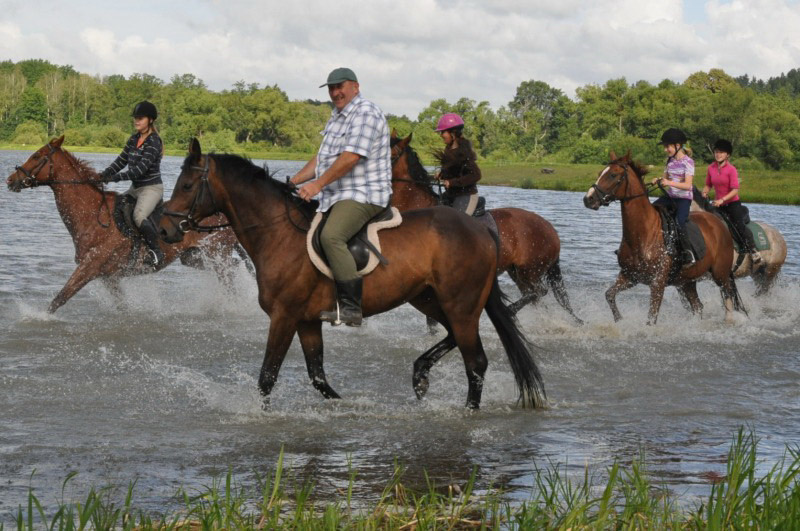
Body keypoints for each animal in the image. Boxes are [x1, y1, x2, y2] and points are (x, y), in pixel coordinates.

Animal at [5, 135, 247, 314]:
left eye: (36, 156)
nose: (10, 180)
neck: (92, 216)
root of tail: (224, 215)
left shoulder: (89, 267)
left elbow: (60, 298)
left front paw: (37, 319)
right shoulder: (108, 277)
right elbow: (123, 306)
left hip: (216, 253)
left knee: (229, 275)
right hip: (194, 257)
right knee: (232, 268)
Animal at [159, 139, 548, 410]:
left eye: (187, 186)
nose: (164, 230)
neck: (279, 233)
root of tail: (481, 231)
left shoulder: (284, 316)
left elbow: (268, 376)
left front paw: (260, 414)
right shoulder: (307, 320)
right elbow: (318, 376)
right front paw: (348, 406)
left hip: (461, 304)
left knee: (476, 361)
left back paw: (467, 410)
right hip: (428, 299)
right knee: (453, 338)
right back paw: (420, 375)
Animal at [390, 133, 580, 324]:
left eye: (391, 155)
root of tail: (551, 230)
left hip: (529, 270)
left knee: (538, 292)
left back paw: (510, 312)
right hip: (517, 272)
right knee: (534, 296)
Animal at [580, 153, 744, 324]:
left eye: (613, 175)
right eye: (600, 173)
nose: (588, 199)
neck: (643, 235)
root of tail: (721, 224)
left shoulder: (657, 283)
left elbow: (651, 318)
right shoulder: (629, 276)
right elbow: (609, 295)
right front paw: (619, 320)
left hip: (720, 274)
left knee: (728, 295)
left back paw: (729, 320)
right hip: (687, 281)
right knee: (698, 306)